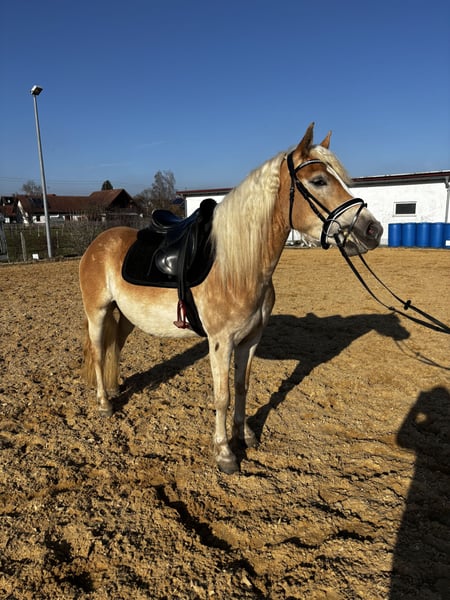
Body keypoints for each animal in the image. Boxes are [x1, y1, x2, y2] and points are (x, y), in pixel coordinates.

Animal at [79, 123, 383, 474]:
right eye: (319, 181)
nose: (373, 230)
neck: (237, 266)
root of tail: (98, 242)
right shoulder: (221, 343)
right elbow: (222, 396)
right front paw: (224, 452)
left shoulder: (250, 340)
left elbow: (241, 387)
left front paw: (245, 435)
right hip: (98, 313)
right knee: (99, 352)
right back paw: (104, 403)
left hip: (126, 316)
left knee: (114, 346)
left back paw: (116, 388)